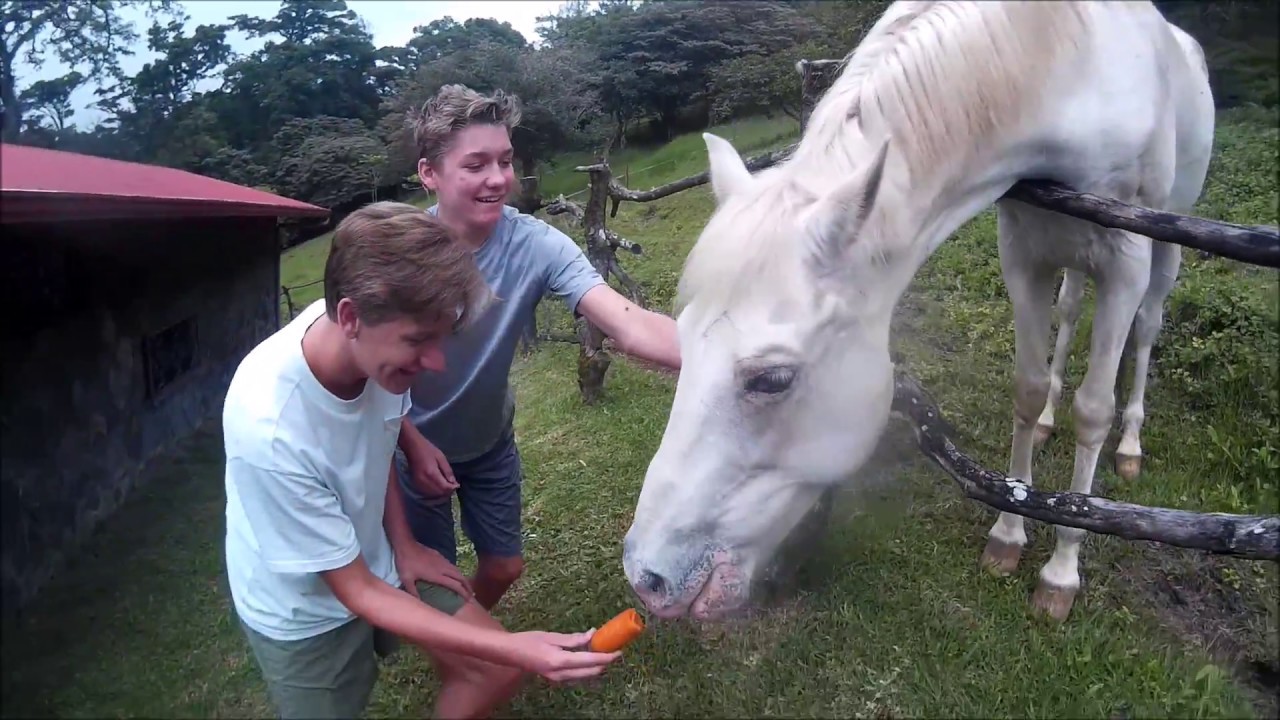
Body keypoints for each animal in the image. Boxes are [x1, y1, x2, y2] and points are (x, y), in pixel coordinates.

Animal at [621, 0, 1215, 623]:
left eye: (773, 379)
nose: (647, 578)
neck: (1072, 72)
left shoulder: (1125, 262)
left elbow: (1095, 411)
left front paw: (1061, 571)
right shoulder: (1024, 251)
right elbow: (1027, 391)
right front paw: (1009, 533)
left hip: (1164, 247)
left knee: (1145, 330)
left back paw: (1129, 448)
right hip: (1070, 256)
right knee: (1073, 310)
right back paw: (1053, 419)